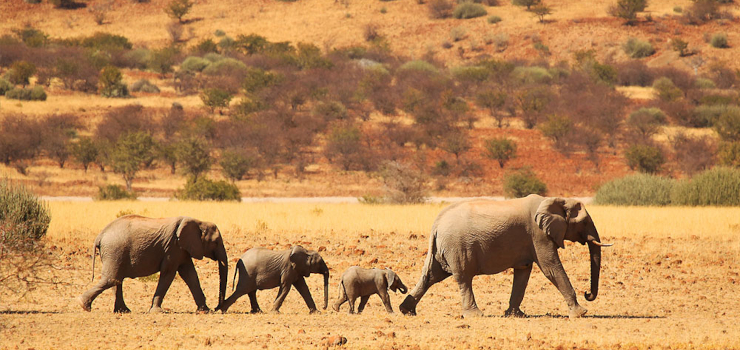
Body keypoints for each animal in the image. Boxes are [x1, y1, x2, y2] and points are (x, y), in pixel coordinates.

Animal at [77, 215, 228, 314]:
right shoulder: (173, 247)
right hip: (114, 250)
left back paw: (123, 311)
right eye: (216, 242)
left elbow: (190, 275)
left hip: (113, 252)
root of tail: (100, 235)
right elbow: (169, 273)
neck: (198, 222)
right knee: (111, 280)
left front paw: (205, 311)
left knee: (116, 280)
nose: (218, 308)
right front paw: (157, 312)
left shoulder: (182, 249)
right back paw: (84, 305)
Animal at [398, 196, 612, 318]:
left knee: (431, 276)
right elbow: (550, 267)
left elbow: (523, 272)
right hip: (457, 246)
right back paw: (475, 315)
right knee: (464, 278)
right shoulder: (539, 235)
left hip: (444, 248)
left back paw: (406, 311)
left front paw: (516, 315)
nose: (587, 293)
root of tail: (436, 223)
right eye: (584, 222)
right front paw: (581, 313)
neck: (555, 199)